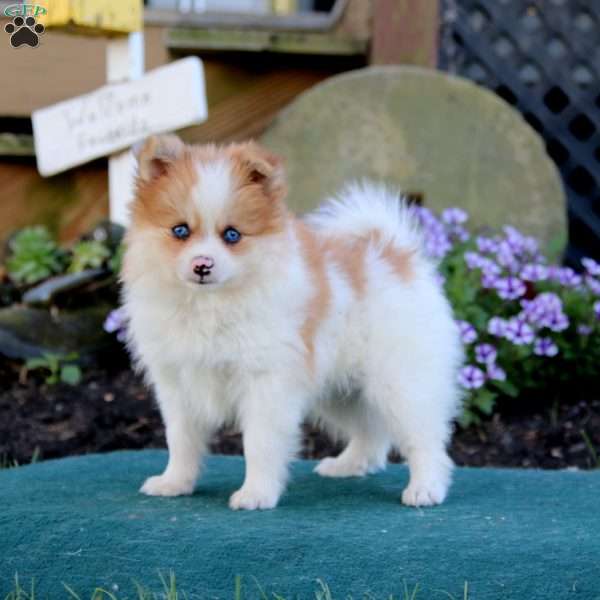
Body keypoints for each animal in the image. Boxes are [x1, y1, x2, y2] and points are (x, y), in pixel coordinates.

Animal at [120, 134, 460, 508]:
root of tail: (395, 253)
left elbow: (259, 444)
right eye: (180, 231)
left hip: (400, 382)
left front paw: (255, 494)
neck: (209, 304)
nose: (202, 265)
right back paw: (348, 465)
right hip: (342, 391)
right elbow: (180, 440)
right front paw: (174, 483)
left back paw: (425, 488)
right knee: (371, 433)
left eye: (232, 235)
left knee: (424, 439)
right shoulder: (177, 384)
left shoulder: (265, 382)